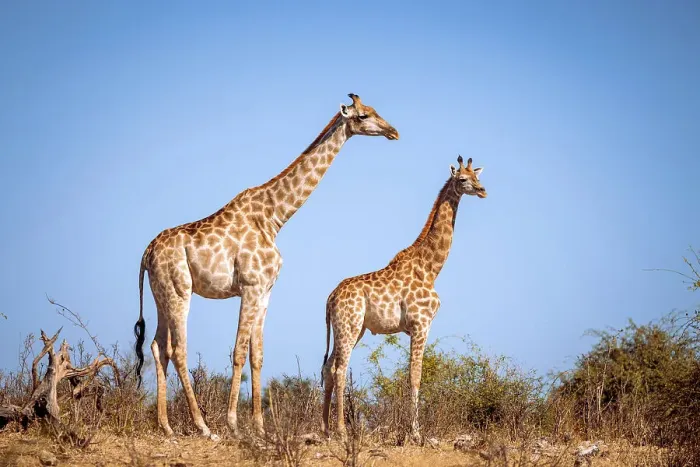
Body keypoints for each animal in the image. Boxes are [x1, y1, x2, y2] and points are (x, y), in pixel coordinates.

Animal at [133, 93, 399, 440]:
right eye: (364, 115)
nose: (393, 131)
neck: (274, 217)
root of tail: (147, 252)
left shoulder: (266, 290)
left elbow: (256, 354)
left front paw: (260, 426)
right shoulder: (249, 286)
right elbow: (237, 351)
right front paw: (233, 422)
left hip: (161, 292)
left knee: (157, 346)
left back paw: (165, 426)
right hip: (180, 291)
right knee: (178, 349)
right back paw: (203, 426)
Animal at [321, 155, 486, 442]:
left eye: (477, 176)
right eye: (464, 179)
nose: (483, 190)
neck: (431, 268)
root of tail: (330, 298)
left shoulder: (417, 327)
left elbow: (412, 375)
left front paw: (414, 431)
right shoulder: (421, 324)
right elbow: (415, 376)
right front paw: (415, 433)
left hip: (353, 328)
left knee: (328, 368)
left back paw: (325, 429)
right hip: (349, 325)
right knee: (340, 369)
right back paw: (342, 430)